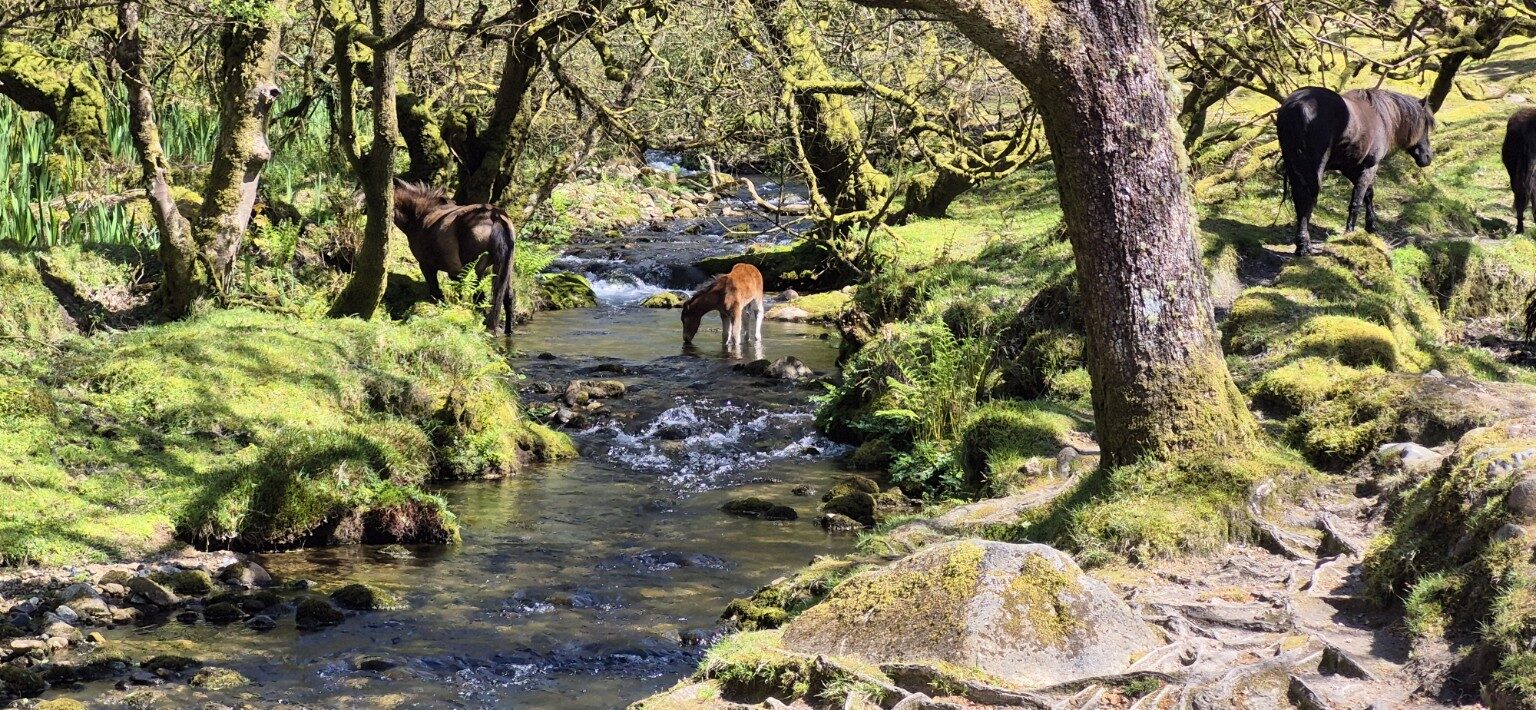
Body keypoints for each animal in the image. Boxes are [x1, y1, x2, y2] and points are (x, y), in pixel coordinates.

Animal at [392, 179, 517, 335]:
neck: (421, 214)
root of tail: (495, 217)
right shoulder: (454, 273)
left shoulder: (426, 266)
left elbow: (436, 293)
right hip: (504, 268)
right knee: (507, 298)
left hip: (476, 270)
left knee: (479, 296)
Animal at [1277, 87, 1436, 255]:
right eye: (1425, 125)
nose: (1427, 158)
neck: (1380, 117)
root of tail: (1298, 106)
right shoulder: (1370, 167)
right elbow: (1357, 200)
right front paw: (1351, 232)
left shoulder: (1350, 168)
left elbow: (1367, 194)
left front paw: (1370, 226)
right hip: (1314, 171)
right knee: (1307, 200)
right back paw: (1304, 245)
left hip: (1294, 167)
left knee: (1299, 200)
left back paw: (1301, 244)